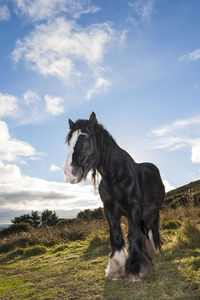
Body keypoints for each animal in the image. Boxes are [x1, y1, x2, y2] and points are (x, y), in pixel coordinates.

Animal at [64, 112, 166, 282]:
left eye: (85, 137)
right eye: (69, 141)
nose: (69, 172)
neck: (115, 177)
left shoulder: (133, 209)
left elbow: (133, 234)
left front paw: (137, 269)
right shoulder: (110, 210)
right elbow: (116, 236)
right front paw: (116, 268)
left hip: (152, 212)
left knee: (150, 228)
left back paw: (154, 252)